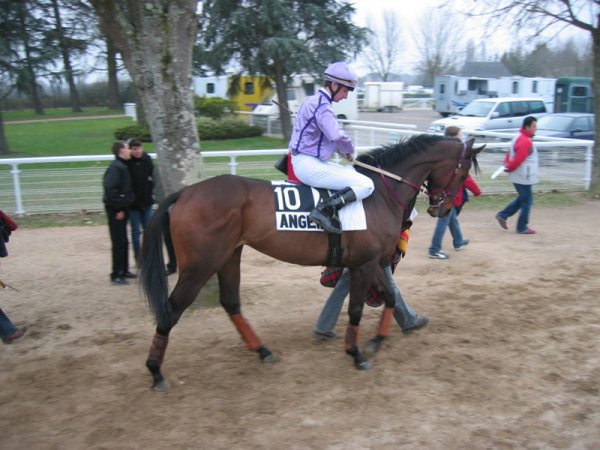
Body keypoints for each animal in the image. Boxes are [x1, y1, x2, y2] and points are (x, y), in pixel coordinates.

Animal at [141, 134, 482, 390]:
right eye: (464, 172)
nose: (443, 209)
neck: (379, 194)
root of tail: (185, 192)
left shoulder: (371, 262)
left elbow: (388, 296)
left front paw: (378, 339)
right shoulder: (364, 264)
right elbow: (356, 309)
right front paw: (356, 353)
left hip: (228, 256)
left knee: (231, 302)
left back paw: (262, 350)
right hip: (199, 266)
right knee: (171, 309)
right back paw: (155, 371)